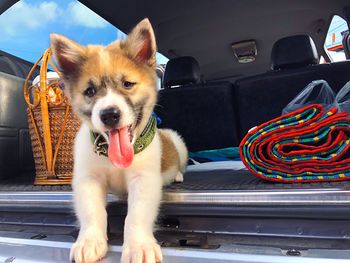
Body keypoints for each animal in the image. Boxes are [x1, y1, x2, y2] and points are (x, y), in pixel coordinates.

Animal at [50, 18, 187, 263]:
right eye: (90, 91)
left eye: (127, 84)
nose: (109, 115)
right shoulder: (88, 180)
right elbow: (92, 211)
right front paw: (90, 241)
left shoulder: (144, 180)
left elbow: (136, 215)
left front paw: (139, 246)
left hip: (178, 142)